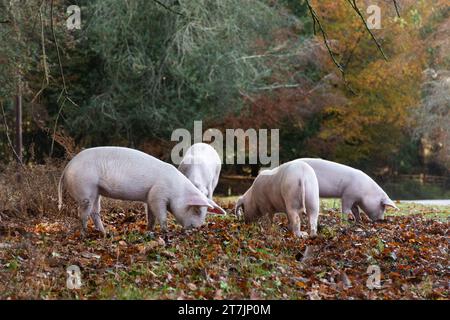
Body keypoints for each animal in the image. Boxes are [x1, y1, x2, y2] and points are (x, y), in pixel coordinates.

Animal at [57, 147, 225, 235]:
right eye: (197, 210)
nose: (197, 228)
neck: (177, 191)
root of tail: (69, 165)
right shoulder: (158, 195)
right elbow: (162, 215)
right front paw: (165, 231)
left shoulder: (149, 197)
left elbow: (151, 216)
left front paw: (149, 230)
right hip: (85, 188)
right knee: (83, 213)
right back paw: (85, 233)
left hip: (97, 191)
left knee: (95, 211)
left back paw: (105, 233)